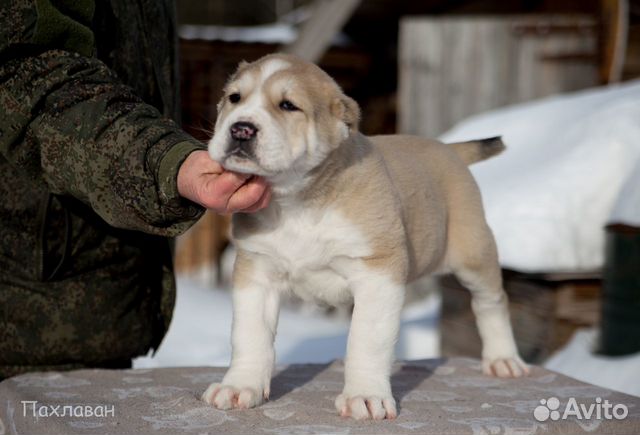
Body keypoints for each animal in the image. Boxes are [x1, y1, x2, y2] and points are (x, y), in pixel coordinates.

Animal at [201, 52, 528, 420]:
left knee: (492, 302)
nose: (240, 129)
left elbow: (367, 341)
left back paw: (503, 359)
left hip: (474, 253)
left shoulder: (377, 274)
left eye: (288, 105)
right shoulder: (257, 273)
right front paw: (239, 386)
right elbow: (250, 335)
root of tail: (449, 150)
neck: (299, 201)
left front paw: (366, 395)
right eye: (234, 98)